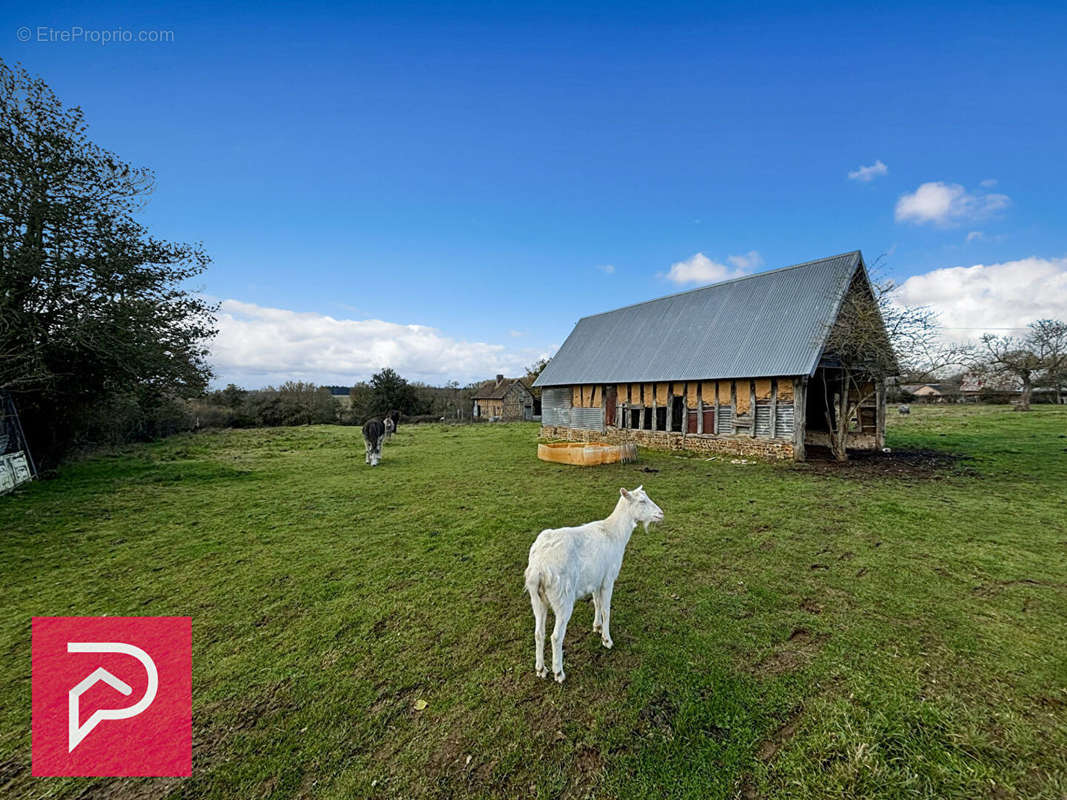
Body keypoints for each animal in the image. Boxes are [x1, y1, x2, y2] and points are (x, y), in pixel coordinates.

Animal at [522, 488, 661, 682]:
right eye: (642, 501)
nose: (661, 514)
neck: (615, 533)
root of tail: (539, 568)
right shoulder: (608, 579)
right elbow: (606, 609)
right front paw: (607, 640)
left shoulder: (596, 579)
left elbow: (596, 603)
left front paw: (597, 627)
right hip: (563, 598)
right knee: (556, 636)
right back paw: (559, 673)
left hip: (537, 599)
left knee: (538, 633)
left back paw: (541, 669)